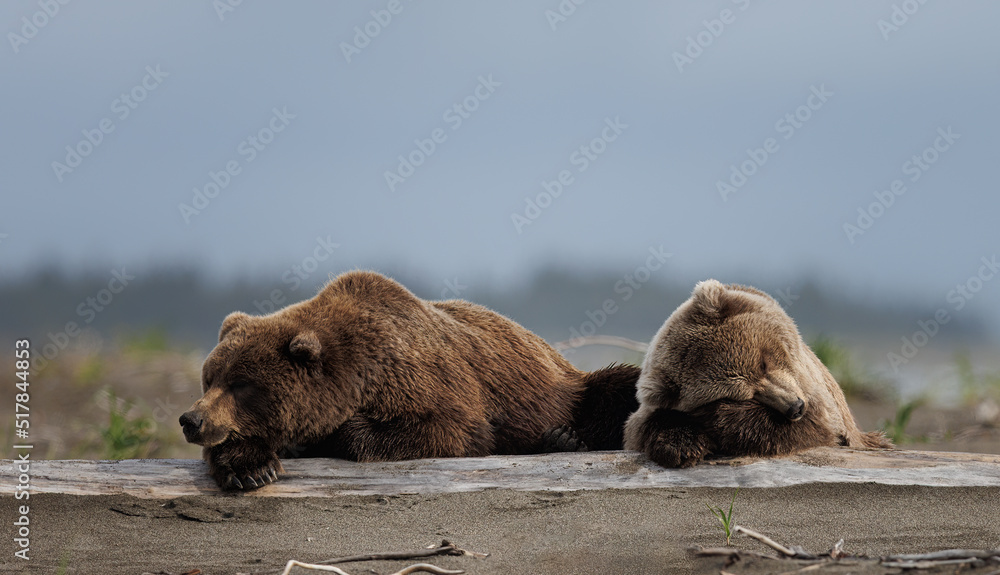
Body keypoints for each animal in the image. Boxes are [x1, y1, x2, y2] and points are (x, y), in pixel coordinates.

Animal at [179, 270, 640, 490]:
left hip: (568, 387)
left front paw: (321, 440)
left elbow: (451, 429)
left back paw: (568, 437)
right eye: (210, 379)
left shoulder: (422, 378)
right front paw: (252, 468)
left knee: (624, 386)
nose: (190, 420)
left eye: (241, 384)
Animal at [623, 279, 891, 468]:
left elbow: (815, 427)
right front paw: (680, 446)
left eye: (762, 363)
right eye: (745, 394)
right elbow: (641, 427)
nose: (795, 407)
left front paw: (713, 419)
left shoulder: (814, 392)